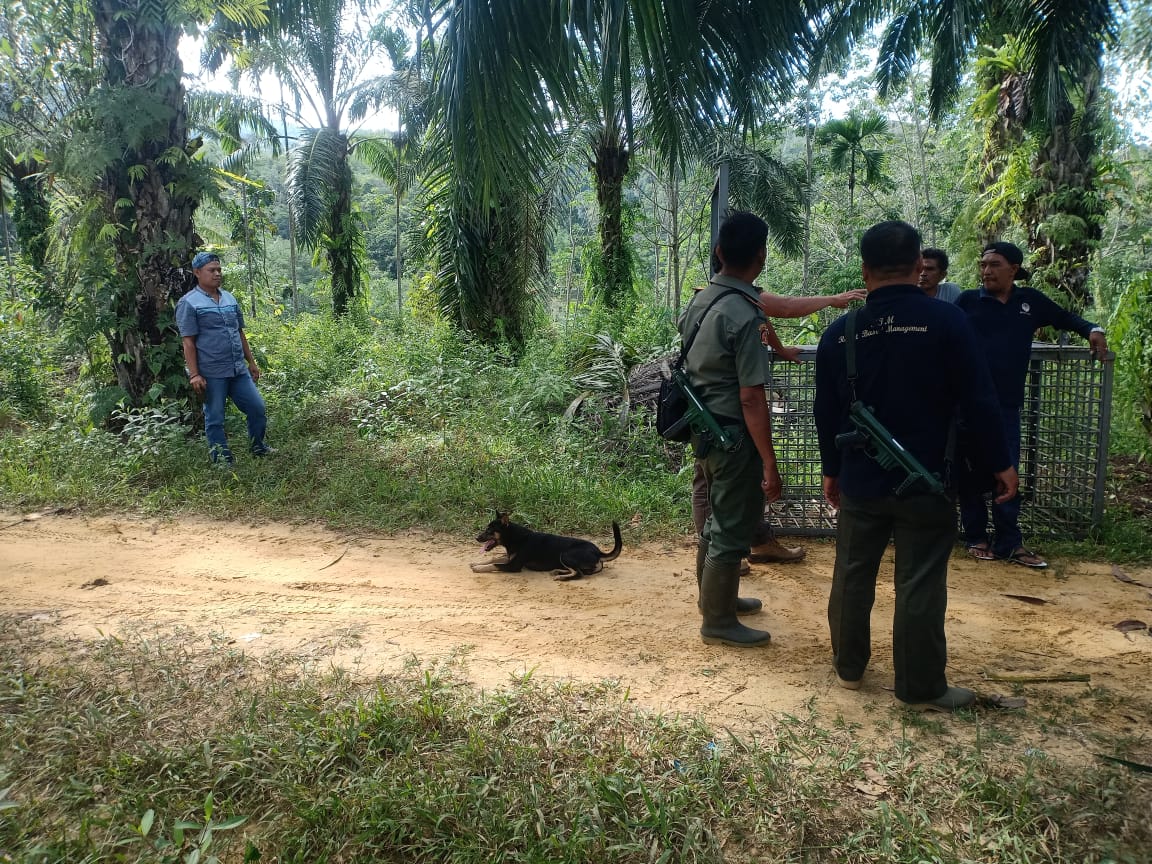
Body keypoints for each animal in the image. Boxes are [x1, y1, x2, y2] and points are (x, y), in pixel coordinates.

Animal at [470, 513, 622, 582]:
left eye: (489, 531)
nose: (477, 538)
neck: (515, 536)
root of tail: (599, 552)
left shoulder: (514, 565)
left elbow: (494, 565)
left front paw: (478, 568)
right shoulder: (509, 558)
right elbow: (493, 558)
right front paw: (476, 563)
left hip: (565, 554)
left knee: (579, 574)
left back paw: (561, 577)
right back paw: (558, 571)